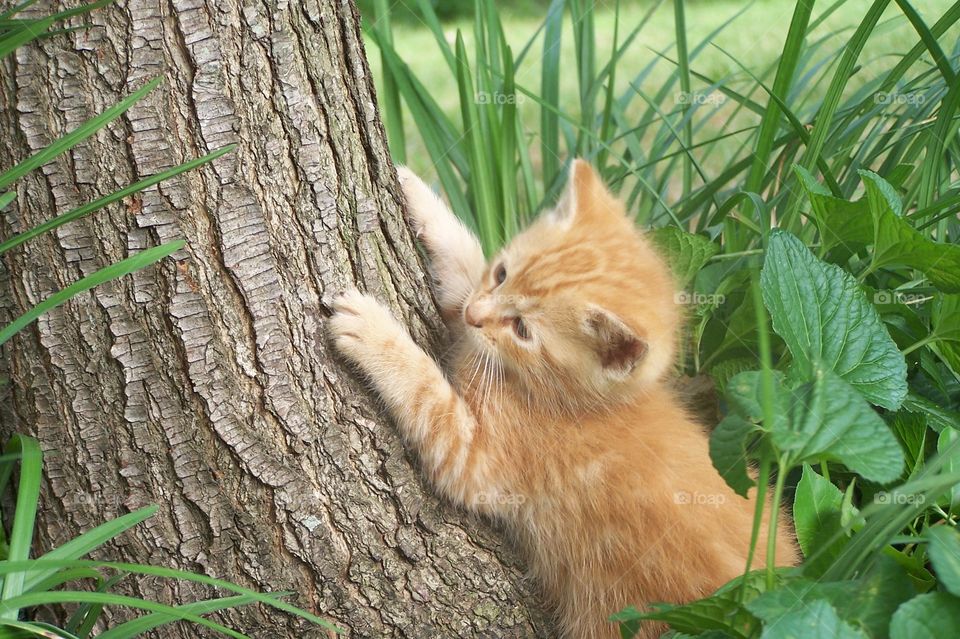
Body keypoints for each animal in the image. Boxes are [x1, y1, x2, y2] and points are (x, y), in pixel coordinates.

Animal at [330, 161, 796, 639]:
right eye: (501, 274)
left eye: (522, 330)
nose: (477, 316)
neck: (569, 400)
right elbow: (464, 268)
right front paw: (418, 193)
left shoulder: (478, 458)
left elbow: (427, 397)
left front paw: (371, 330)